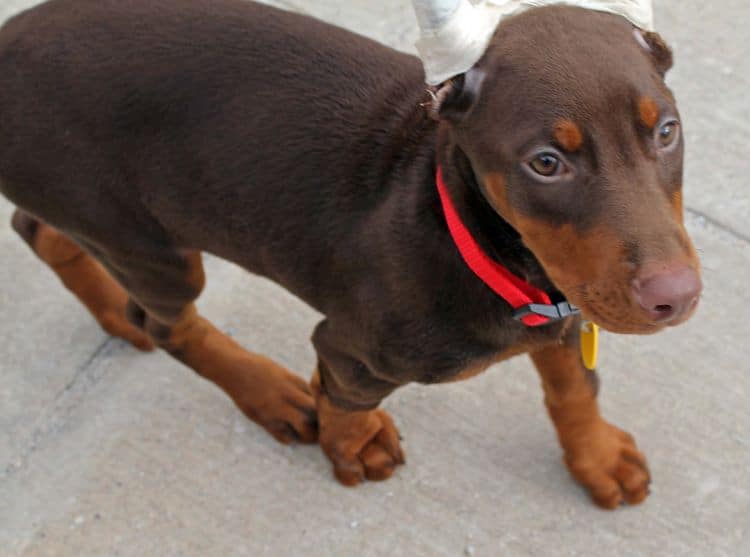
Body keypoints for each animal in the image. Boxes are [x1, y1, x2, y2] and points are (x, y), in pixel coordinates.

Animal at [1, 0, 704, 508]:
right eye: (547, 163)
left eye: (667, 131)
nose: (677, 297)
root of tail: (7, 44)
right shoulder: (358, 348)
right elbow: (347, 401)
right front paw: (350, 448)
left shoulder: (567, 305)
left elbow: (575, 387)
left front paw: (597, 458)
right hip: (150, 244)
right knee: (168, 324)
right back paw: (268, 392)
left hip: (97, 216)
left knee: (39, 229)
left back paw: (108, 308)